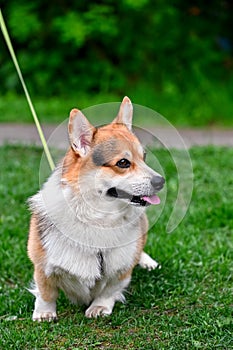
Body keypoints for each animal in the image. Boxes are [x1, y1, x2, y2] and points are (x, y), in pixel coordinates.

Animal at [27, 95, 165, 320]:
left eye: (144, 157)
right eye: (123, 163)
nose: (161, 181)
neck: (98, 218)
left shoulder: (121, 269)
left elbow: (110, 289)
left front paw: (99, 307)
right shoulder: (42, 264)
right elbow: (46, 291)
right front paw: (44, 313)